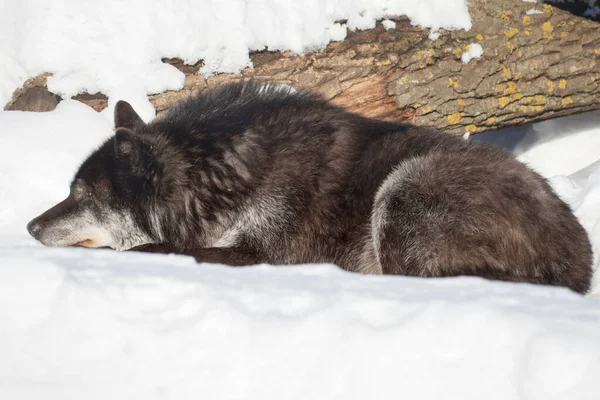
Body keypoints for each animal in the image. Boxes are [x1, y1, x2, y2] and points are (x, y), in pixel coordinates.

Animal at [24, 82, 596, 294]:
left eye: (83, 195)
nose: (29, 227)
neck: (222, 179)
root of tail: (579, 261)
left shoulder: (261, 255)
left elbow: (152, 248)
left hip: (405, 189)